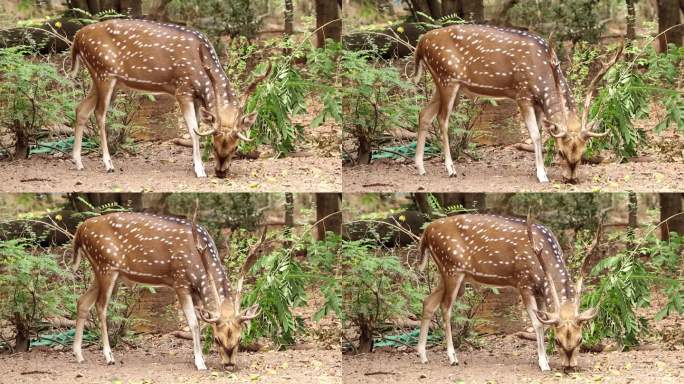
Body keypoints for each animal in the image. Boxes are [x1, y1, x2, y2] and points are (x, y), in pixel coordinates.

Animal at [69, 19, 272, 178]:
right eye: (214, 145)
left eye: (236, 147)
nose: (221, 172)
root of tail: (77, 38)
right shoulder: (182, 90)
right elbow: (193, 130)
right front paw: (199, 170)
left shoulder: (196, 98)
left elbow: (198, 128)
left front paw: (196, 164)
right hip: (104, 73)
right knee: (99, 113)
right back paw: (108, 164)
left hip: (103, 78)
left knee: (81, 109)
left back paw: (78, 162)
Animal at [71, 212, 264, 370]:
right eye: (217, 339)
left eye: (240, 339)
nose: (229, 364)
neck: (199, 270)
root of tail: (80, 230)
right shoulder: (180, 282)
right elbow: (193, 323)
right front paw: (200, 362)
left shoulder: (195, 291)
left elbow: (200, 323)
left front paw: (199, 357)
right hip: (106, 266)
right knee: (100, 306)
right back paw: (109, 356)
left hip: (104, 271)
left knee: (82, 301)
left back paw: (79, 355)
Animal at [408, 24, 624, 184]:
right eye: (561, 152)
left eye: (582, 152)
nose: (570, 179)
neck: (543, 78)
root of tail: (420, 43)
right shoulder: (523, 95)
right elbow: (535, 135)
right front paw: (542, 175)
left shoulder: (537, 103)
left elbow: (541, 132)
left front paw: (540, 169)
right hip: (447, 78)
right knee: (442, 119)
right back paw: (451, 169)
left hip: (443, 83)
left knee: (424, 114)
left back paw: (420, 167)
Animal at [414, 214, 596, 370]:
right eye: (557, 341)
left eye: (580, 339)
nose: (570, 366)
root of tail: (426, 232)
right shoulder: (523, 282)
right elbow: (537, 324)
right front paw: (543, 363)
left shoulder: (540, 290)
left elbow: (544, 323)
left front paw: (545, 359)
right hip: (452, 268)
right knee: (445, 307)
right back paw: (452, 357)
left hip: (448, 274)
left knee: (428, 302)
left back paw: (423, 355)